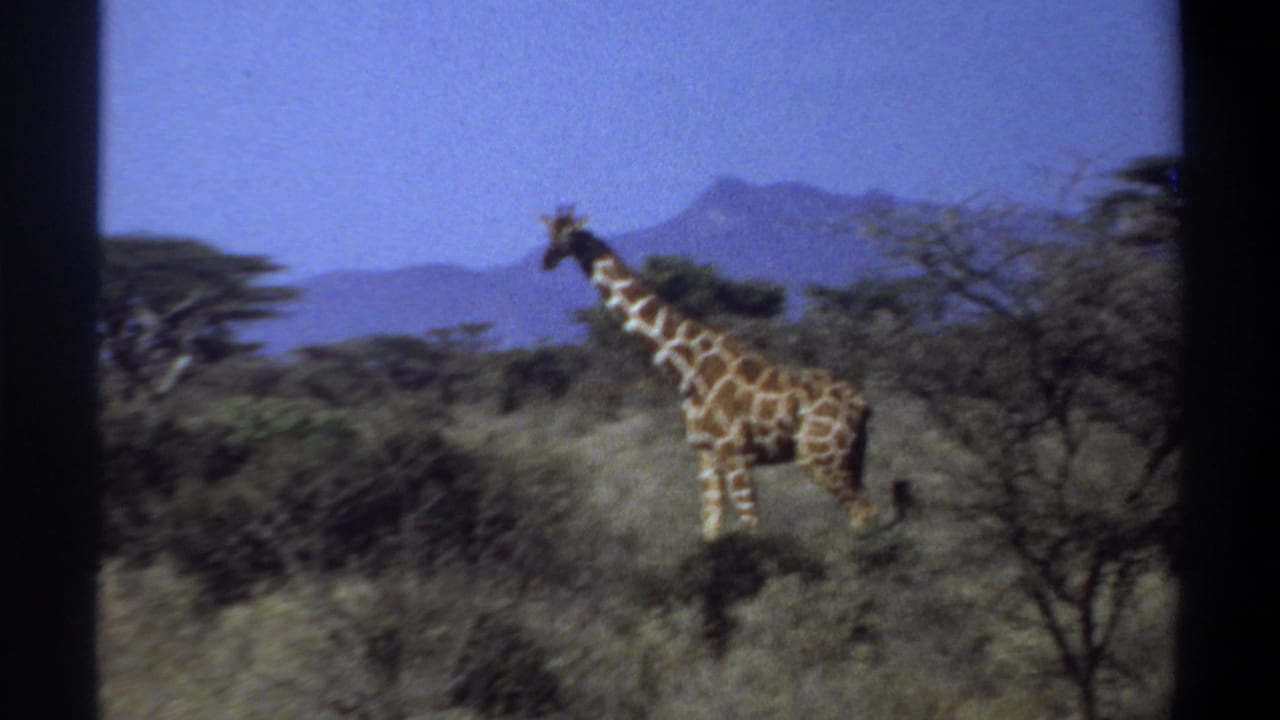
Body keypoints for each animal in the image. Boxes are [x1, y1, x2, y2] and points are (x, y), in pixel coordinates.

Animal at [541, 206, 877, 540]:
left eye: (569, 233)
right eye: (549, 232)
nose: (546, 261)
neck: (686, 369)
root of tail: (863, 403)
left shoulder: (735, 452)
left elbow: (752, 526)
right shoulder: (704, 451)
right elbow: (711, 528)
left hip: (819, 455)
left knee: (862, 510)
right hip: (850, 455)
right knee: (865, 507)